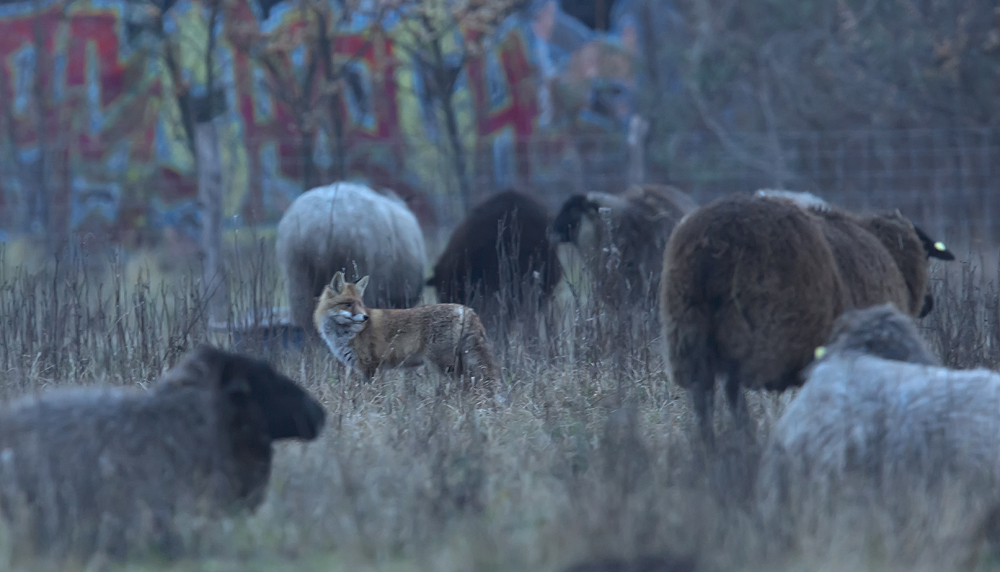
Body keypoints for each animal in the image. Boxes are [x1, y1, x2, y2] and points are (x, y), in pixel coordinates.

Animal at [313, 271, 500, 388]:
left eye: (360, 303)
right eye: (348, 304)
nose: (365, 318)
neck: (346, 334)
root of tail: (466, 309)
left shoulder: (370, 366)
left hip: (446, 365)